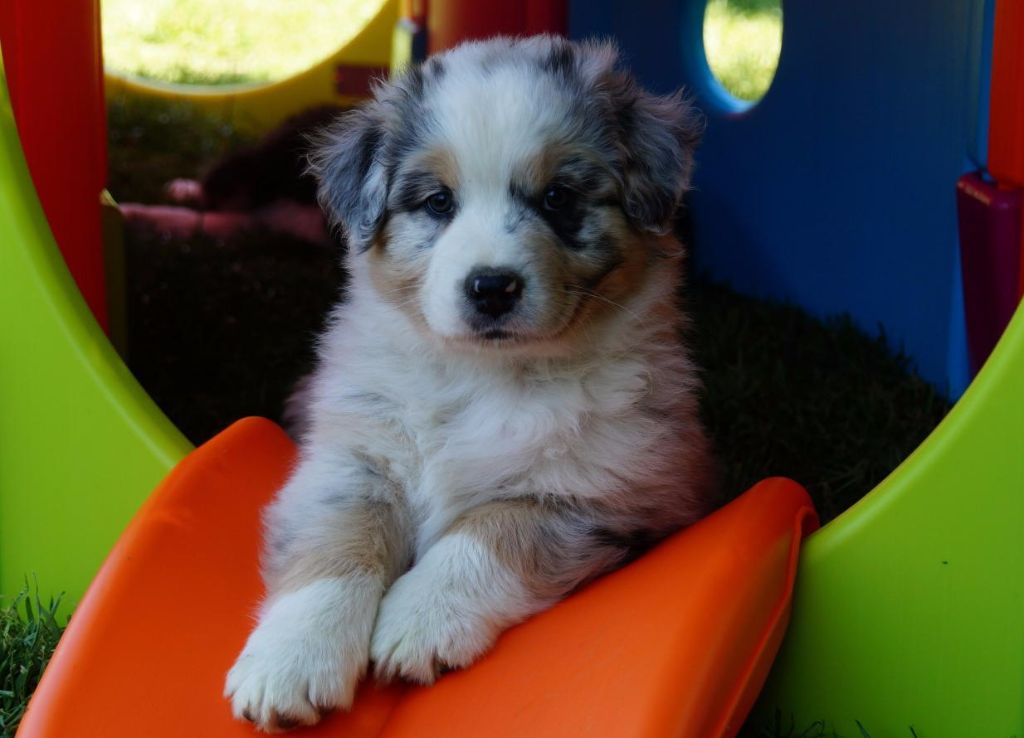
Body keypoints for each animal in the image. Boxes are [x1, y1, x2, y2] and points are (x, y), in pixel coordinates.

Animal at [225, 35, 715, 732]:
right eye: (438, 202)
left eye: (558, 197)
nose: (491, 287)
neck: (483, 375)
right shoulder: (352, 458)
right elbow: (336, 547)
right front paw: (290, 664)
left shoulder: (606, 488)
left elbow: (487, 535)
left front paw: (417, 624)